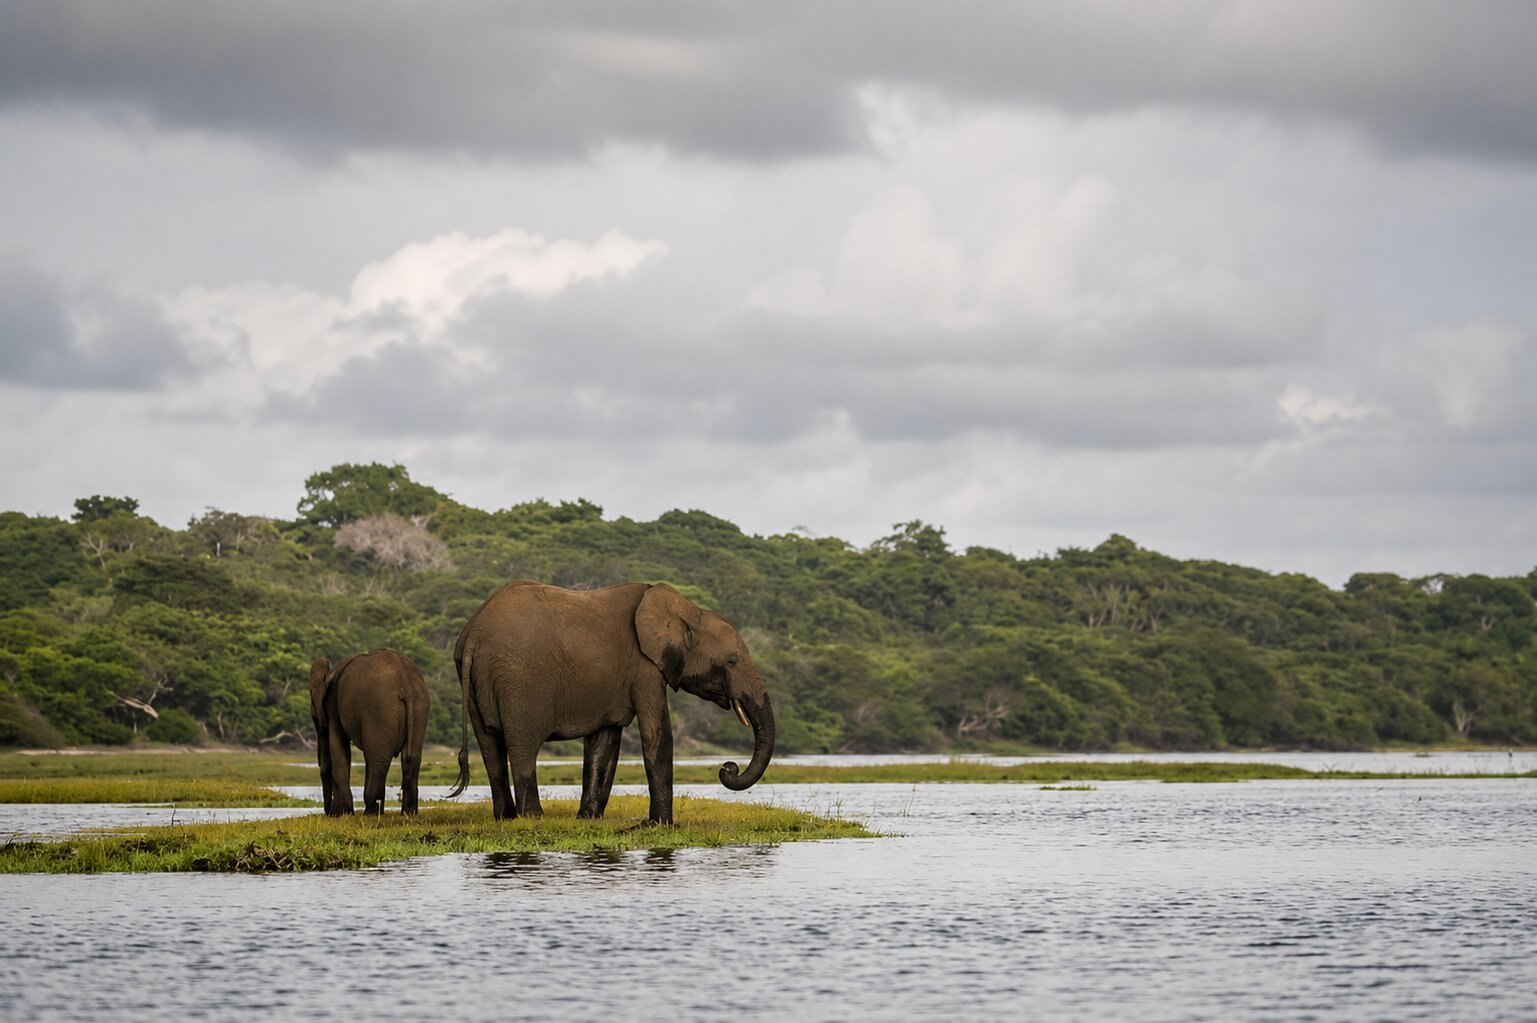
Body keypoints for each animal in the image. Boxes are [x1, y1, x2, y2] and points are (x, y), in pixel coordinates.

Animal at [308, 648, 430, 816]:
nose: (328, 812)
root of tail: (406, 684)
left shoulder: (333, 706)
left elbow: (339, 748)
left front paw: (341, 813)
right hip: (419, 707)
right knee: (410, 759)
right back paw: (407, 813)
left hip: (379, 708)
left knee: (378, 760)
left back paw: (371, 812)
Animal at [444, 581, 775, 825]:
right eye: (731, 661)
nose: (728, 767)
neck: (690, 612)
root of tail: (474, 632)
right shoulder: (645, 667)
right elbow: (656, 735)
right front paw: (661, 825)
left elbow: (604, 743)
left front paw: (589, 819)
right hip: (519, 683)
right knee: (523, 748)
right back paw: (533, 817)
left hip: (473, 679)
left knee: (490, 749)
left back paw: (506, 818)